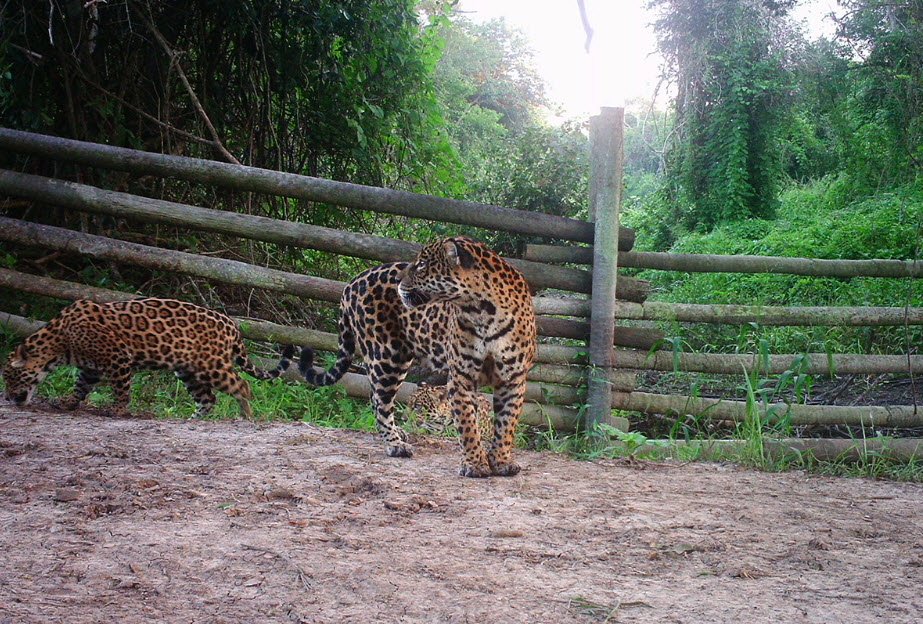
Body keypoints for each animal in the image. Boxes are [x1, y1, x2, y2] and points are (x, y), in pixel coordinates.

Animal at [2, 297, 295, 418]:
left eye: (9, 376)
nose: (7, 397)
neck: (59, 341)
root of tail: (233, 325)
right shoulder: (90, 367)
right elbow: (80, 386)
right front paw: (67, 403)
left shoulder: (118, 357)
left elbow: (121, 389)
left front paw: (118, 411)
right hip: (188, 371)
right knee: (208, 399)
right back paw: (194, 420)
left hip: (212, 366)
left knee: (242, 387)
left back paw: (248, 418)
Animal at [299, 236, 536, 478]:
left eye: (422, 264)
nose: (398, 280)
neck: (483, 311)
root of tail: (353, 280)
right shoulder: (461, 377)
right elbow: (468, 424)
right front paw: (475, 464)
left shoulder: (513, 378)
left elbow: (506, 423)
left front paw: (501, 461)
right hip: (386, 357)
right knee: (379, 401)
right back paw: (395, 444)